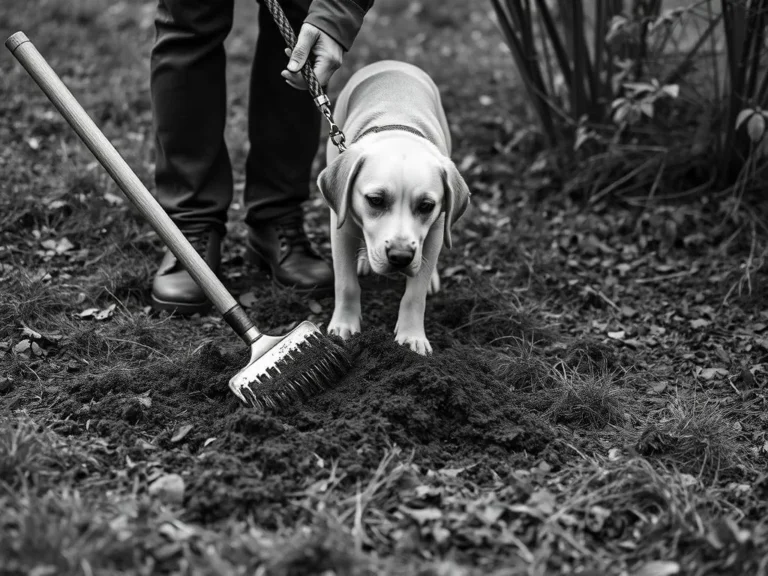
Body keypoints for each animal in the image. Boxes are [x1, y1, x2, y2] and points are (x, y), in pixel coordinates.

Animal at [316, 60, 468, 354]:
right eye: (375, 200)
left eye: (426, 205)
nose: (400, 257)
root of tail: (392, 63)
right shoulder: (340, 228)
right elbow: (346, 284)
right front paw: (344, 327)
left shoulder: (435, 230)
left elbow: (414, 295)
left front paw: (412, 337)